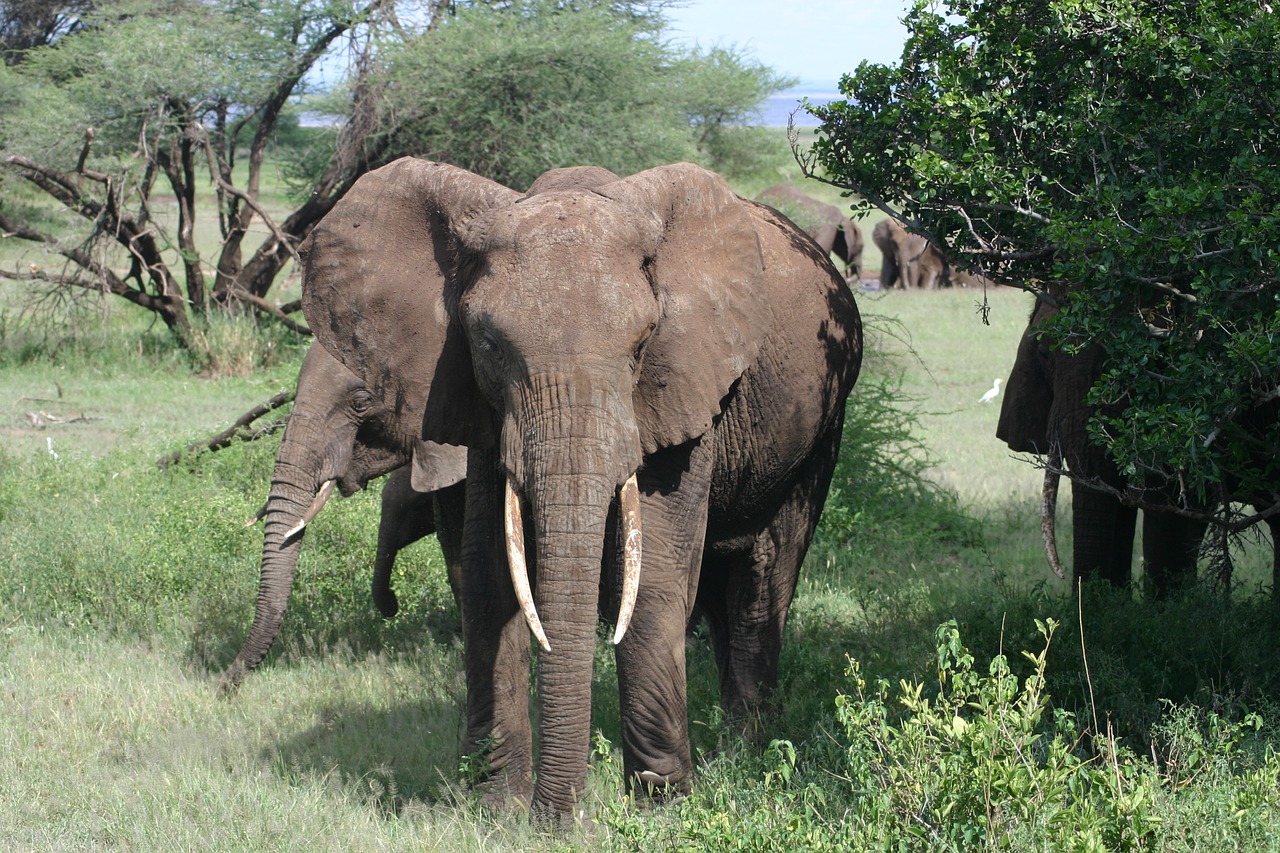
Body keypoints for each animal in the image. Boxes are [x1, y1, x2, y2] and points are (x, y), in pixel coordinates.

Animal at [298, 157, 860, 819]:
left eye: (642, 344)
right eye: (488, 345)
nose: (563, 823)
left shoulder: (683, 387)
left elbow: (655, 574)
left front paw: (660, 804)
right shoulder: (476, 405)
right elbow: (488, 572)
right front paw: (494, 806)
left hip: (824, 415)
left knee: (765, 572)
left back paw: (749, 749)